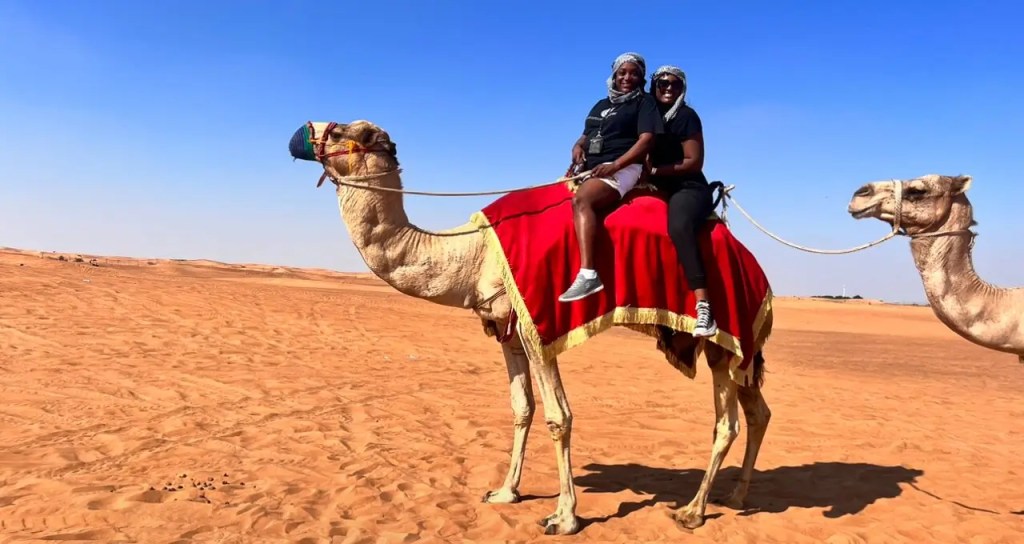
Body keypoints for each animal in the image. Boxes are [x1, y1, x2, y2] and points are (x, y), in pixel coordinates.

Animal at [287, 119, 773, 535]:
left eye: (349, 132)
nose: (300, 133)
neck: (473, 253)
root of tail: (756, 268)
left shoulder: (538, 327)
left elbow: (560, 417)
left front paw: (564, 517)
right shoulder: (507, 329)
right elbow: (522, 408)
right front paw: (505, 492)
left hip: (722, 335)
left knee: (726, 422)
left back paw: (692, 512)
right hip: (737, 344)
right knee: (757, 411)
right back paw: (736, 497)